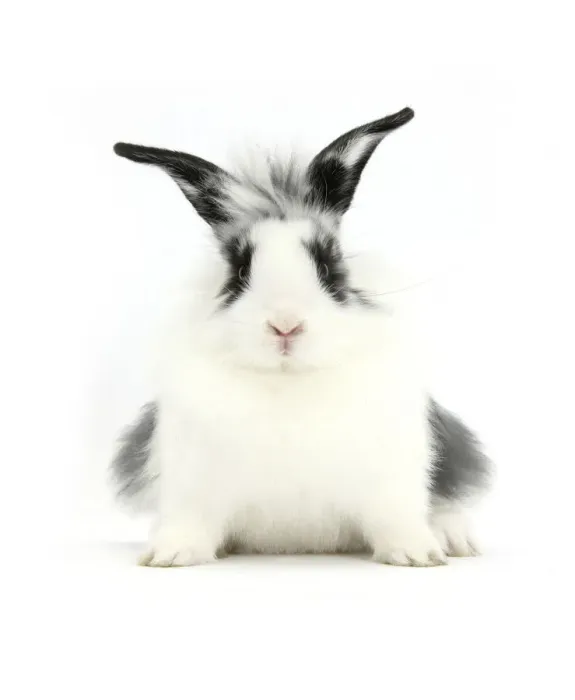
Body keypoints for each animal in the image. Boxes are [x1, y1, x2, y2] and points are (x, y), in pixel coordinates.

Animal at [111, 107, 491, 567]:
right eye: (239, 272)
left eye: (328, 267)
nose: (285, 324)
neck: (288, 382)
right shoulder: (192, 478)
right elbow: (190, 521)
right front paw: (170, 555)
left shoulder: (393, 474)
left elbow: (397, 516)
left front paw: (418, 554)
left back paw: (455, 540)